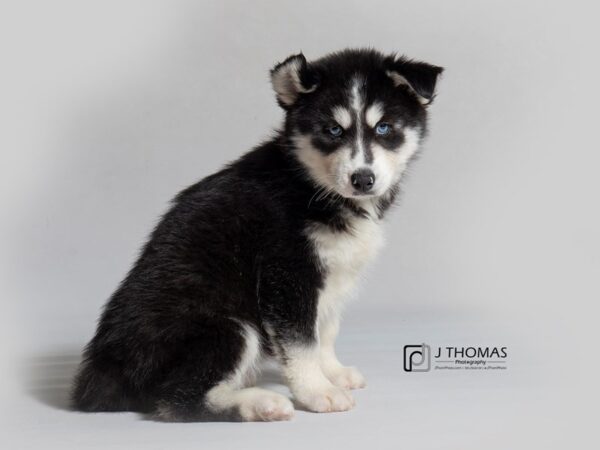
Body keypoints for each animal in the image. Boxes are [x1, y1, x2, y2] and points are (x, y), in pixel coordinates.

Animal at [72, 49, 442, 422]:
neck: (311, 184)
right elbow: (301, 342)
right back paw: (260, 403)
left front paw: (333, 372)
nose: (362, 179)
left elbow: (325, 331)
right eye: (333, 130)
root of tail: (102, 373)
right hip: (229, 328)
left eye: (384, 127)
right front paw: (317, 391)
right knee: (176, 400)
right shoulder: (287, 276)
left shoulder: (332, 275)